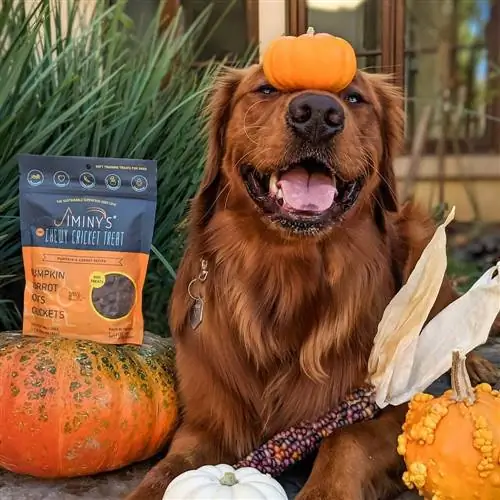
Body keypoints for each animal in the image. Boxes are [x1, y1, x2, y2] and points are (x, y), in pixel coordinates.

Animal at [127, 66, 498, 500]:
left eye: (354, 97)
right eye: (266, 89)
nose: (318, 113)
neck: (288, 274)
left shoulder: (390, 409)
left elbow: (345, 439)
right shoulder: (207, 420)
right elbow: (167, 471)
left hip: (422, 236)